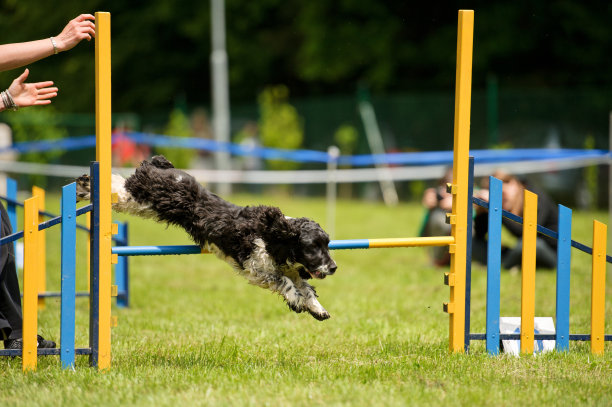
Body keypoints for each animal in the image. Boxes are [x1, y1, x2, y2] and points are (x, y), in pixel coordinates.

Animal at [76, 157, 338, 322]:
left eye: (327, 244)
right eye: (313, 246)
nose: (334, 267)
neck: (274, 237)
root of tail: (159, 165)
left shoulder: (290, 268)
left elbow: (306, 287)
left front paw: (318, 309)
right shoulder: (255, 266)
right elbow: (285, 282)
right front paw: (296, 301)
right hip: (138, 197)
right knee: (117, 186)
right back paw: (84, 185)